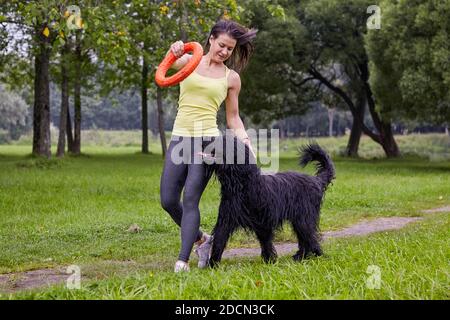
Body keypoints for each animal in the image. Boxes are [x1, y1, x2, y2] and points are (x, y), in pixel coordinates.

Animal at [206, 136, 336, 268]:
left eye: (225, 141)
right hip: (299, 220)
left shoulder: (264, 220)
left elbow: (266, 241)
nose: (209, 139)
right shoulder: (227, 219)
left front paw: (269, 260)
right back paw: (302, 257)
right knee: (305, 238)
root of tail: (317, 180)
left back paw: (318, 256)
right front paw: (213, 264)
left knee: (310, 237)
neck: (242, 184)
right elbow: (220, 239)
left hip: (304, 218)